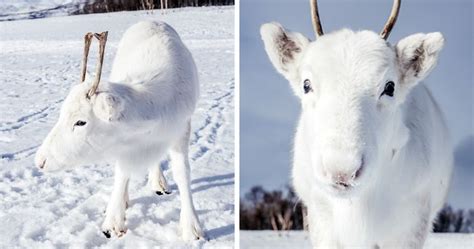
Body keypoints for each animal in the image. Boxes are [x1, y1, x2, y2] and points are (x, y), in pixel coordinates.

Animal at [33, 21, 204, 241]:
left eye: (80, 122)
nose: (40, 161)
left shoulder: (181, 129)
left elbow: (182, 173)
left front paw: (192, 228)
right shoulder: (124, 145)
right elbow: (122, 174)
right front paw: (113, 221)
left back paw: (159, 184)